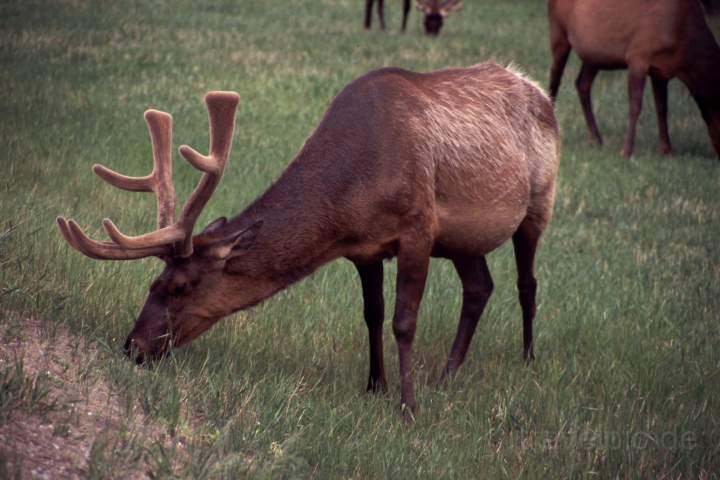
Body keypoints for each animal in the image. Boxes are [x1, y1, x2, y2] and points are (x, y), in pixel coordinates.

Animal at [56, 63, 564, 416]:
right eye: (151, 284)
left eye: (179, 286)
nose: (133, 347)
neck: (353, 195)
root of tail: (540, 92)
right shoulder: (364, 249)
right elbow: (372, 315)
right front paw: (374, 387)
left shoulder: (418, 226)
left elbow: (403, 321)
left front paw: (408, 406)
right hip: (463, 239)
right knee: (480, 286)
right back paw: (448, 373)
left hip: (540, 199)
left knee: (527, 281)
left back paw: (526, 359)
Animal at [544, 0, 720, 158]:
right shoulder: (637, 55)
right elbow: (635, 106)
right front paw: (626, 151)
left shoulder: (660, 72)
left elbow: (662, 109)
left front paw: (667, 150)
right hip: (558, 31)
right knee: (555, 79)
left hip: (594, 55)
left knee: (582, 83)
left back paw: (596, 139)